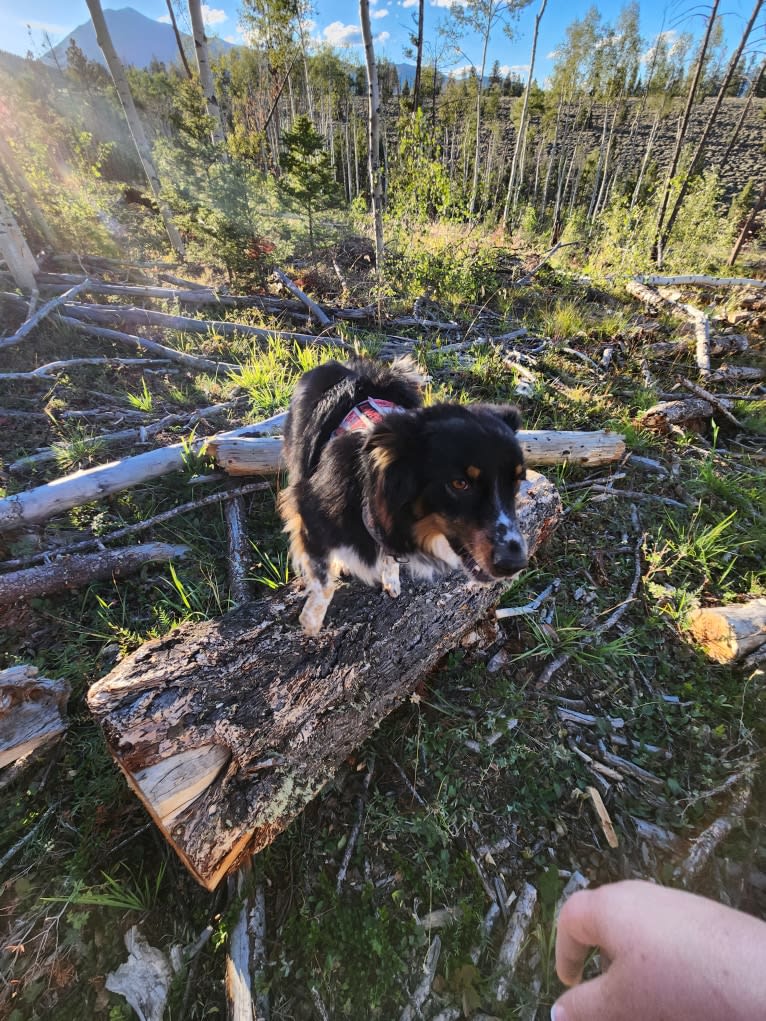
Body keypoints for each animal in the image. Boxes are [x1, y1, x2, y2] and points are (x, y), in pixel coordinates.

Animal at [279, 357, 527, 628]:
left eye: (517, 480)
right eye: (460, 483)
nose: (515, 565)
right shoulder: (308, 507)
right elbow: (324, 581)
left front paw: (391, 579)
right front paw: (310, 623)